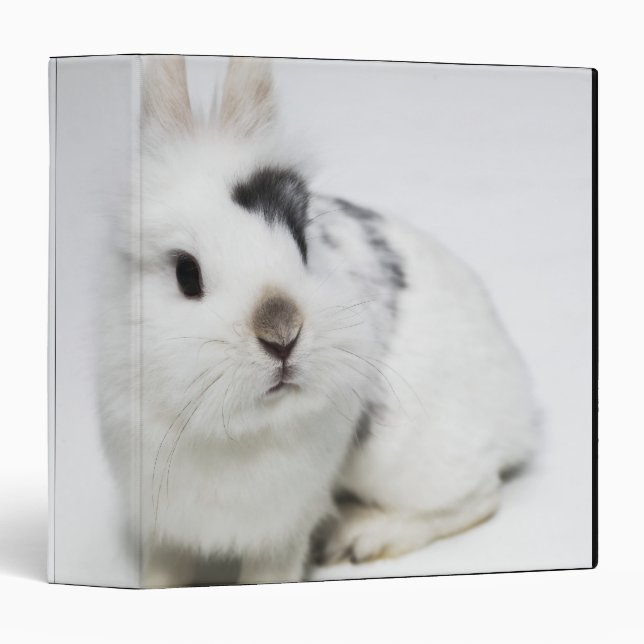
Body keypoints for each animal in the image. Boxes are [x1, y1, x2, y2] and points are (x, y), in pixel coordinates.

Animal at [99, 55, 536, 587]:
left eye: (302, 244)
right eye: (187, 273)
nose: (282, 334)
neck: (236, 428)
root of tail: (521, 408)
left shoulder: (283, 526)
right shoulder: (162, 522)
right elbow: (162, 571)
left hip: (406, 458)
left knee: (479, 496)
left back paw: (363, 536)